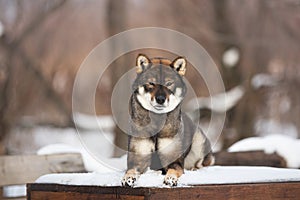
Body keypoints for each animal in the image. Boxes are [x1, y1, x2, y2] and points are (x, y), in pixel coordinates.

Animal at [120, 54, 214, 187]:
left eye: (169, 83)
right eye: (151, 83)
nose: (160, 99)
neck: (157, 122)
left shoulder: (174, 160)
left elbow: (173, 170)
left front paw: (170, 178)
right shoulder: (137, 159)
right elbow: (131, 170)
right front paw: (128, 178)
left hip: (199, 140)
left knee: (203, 162)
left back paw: (195, 168)